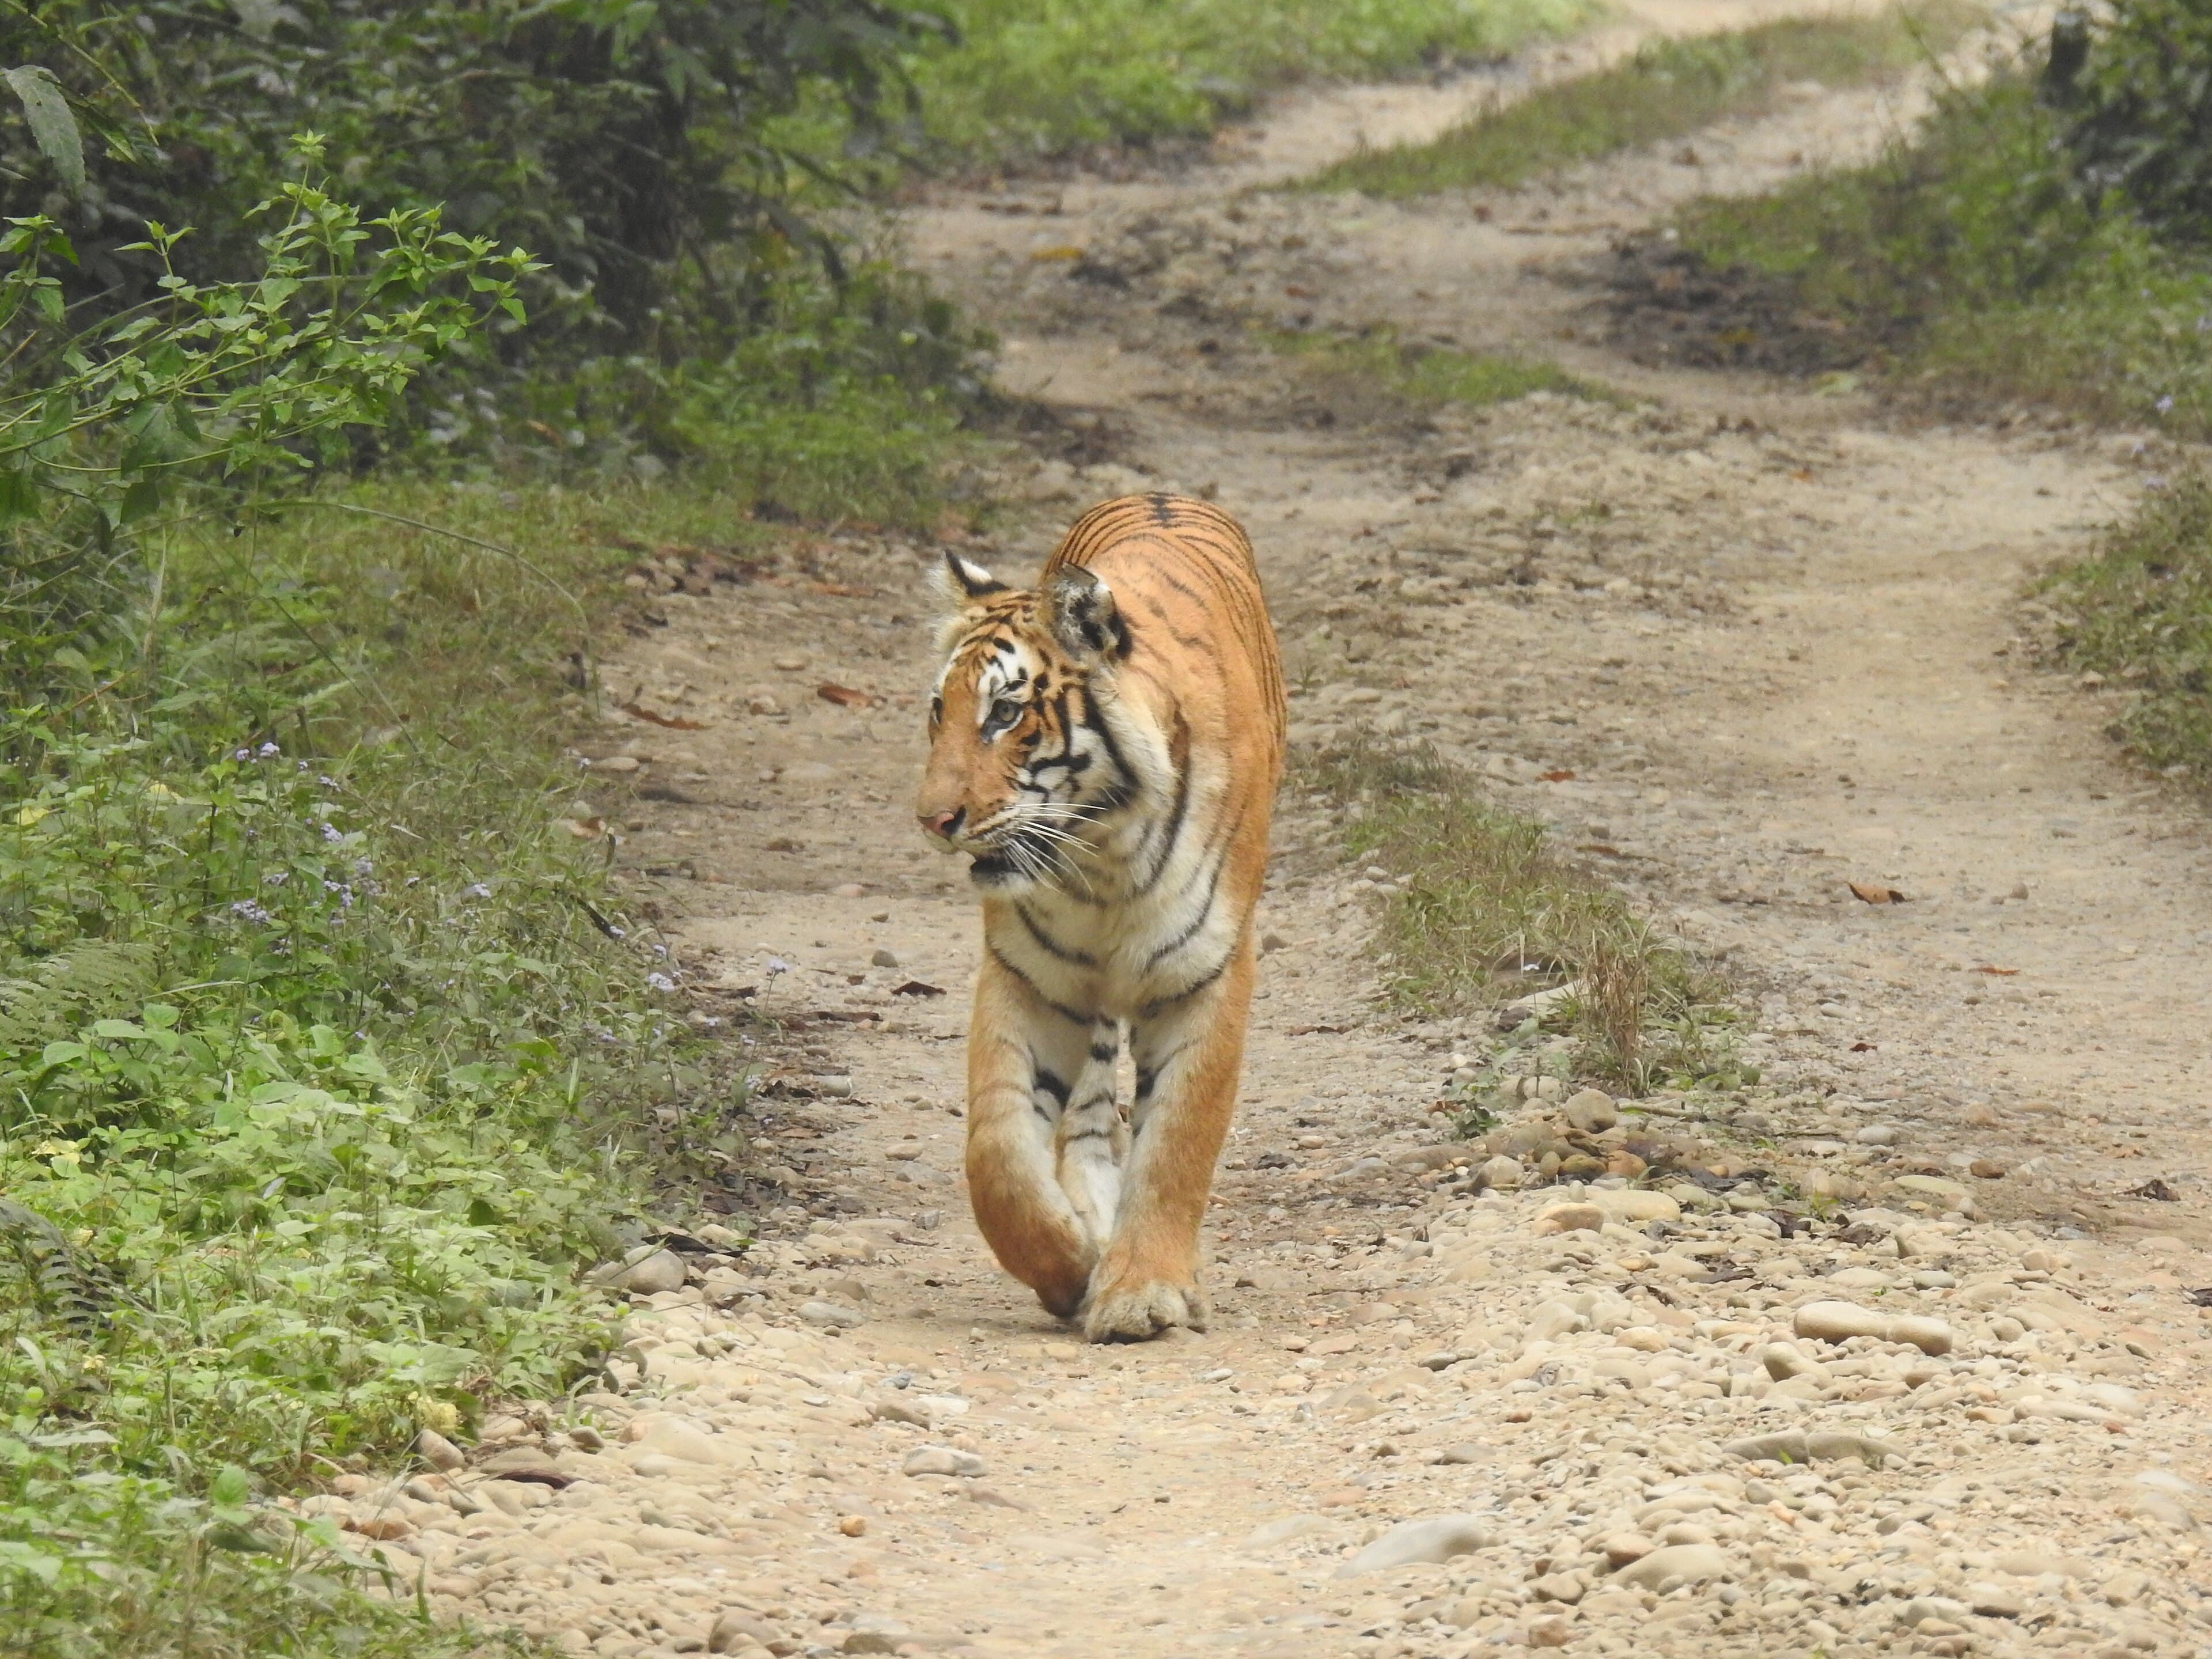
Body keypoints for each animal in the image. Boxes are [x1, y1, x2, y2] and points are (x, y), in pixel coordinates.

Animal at [913, 493, 1285, 1342]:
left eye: (1005, 714)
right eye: (940, 712)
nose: (933, 820)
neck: (1102, 851)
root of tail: (1162, 496)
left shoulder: (1205, 975)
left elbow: (1177, 1142)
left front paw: (1142, 1293)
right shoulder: (1031, 978)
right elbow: (997, 1154)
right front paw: (1068, 1268)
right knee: (1086, 1118)